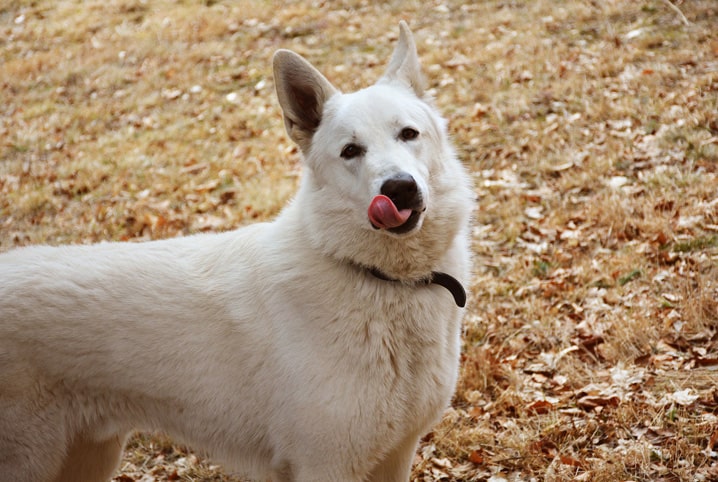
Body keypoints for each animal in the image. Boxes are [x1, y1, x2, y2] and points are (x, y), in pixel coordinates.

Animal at [1, 22, 478, 482]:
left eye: (408, 134)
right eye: (350, 151)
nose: (399, 189)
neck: (380, 279)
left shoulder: (396, 455)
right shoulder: (327, 466)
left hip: (89, 458)